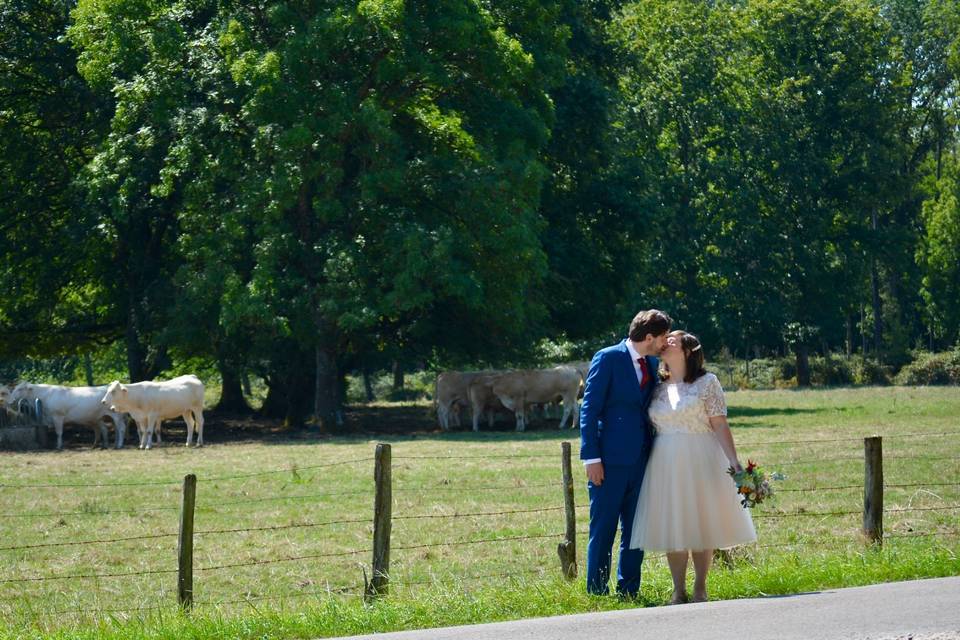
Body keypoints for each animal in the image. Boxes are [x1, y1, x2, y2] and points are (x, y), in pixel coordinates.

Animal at [0, 382, 128, 448]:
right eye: (15, 388)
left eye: (20, 389)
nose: (12, 400)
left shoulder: (58, 416)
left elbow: (59, 432)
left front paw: (59, 446)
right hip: (101, 416)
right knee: (109, 429)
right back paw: (107, 445)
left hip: (116, 414)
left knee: (121, 428)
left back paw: (119, 445)